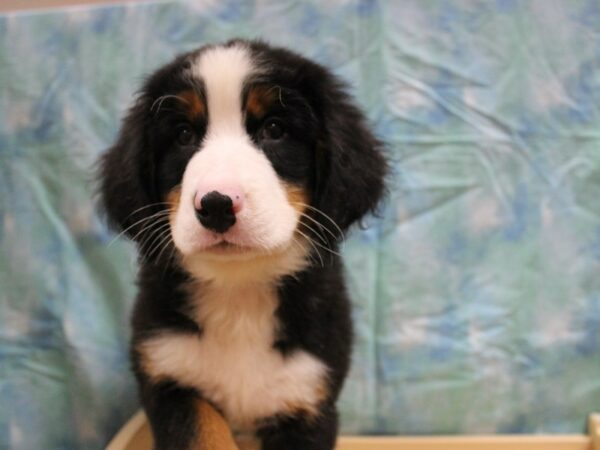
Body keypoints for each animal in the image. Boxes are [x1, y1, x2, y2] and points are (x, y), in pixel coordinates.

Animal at [99, 39, 384, 450]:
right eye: (183, 135)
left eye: (274, 129)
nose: (216, 204)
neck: (239, 294)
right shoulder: (170, 376)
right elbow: (204, 436)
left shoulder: (305, 393)